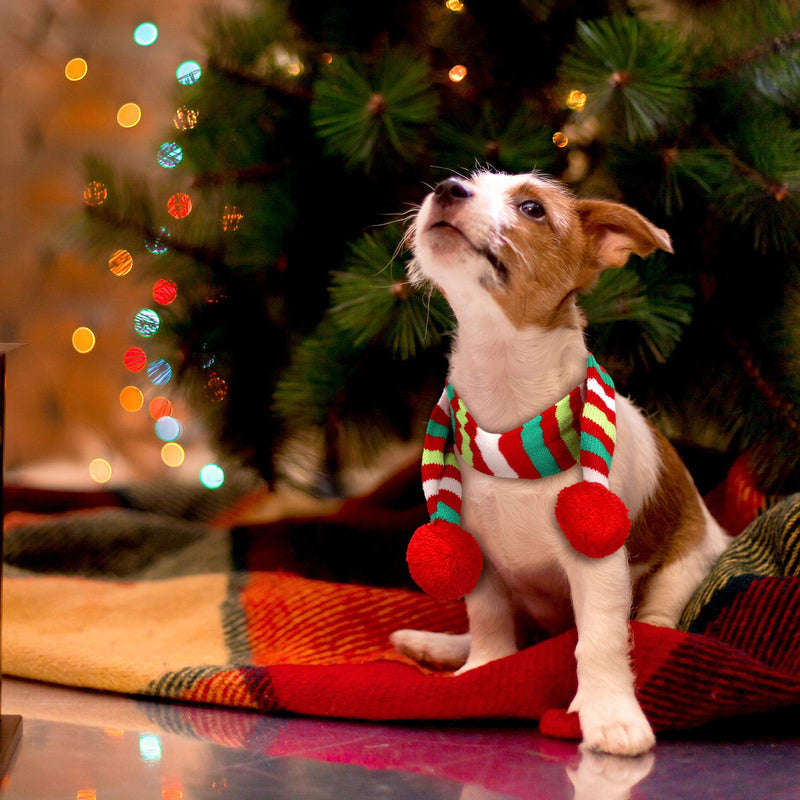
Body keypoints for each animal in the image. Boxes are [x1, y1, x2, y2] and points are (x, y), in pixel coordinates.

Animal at [390, 170, 728, 756]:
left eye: (533, 209)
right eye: (465, 180)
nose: (447, 188)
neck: (507, 419)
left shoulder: (598, 564)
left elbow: (599, 639)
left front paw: (610, 714)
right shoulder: (477, 556)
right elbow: (490, 623)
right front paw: (481, 673)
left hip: (683, 566)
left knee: (656, 618)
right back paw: (440, 647)